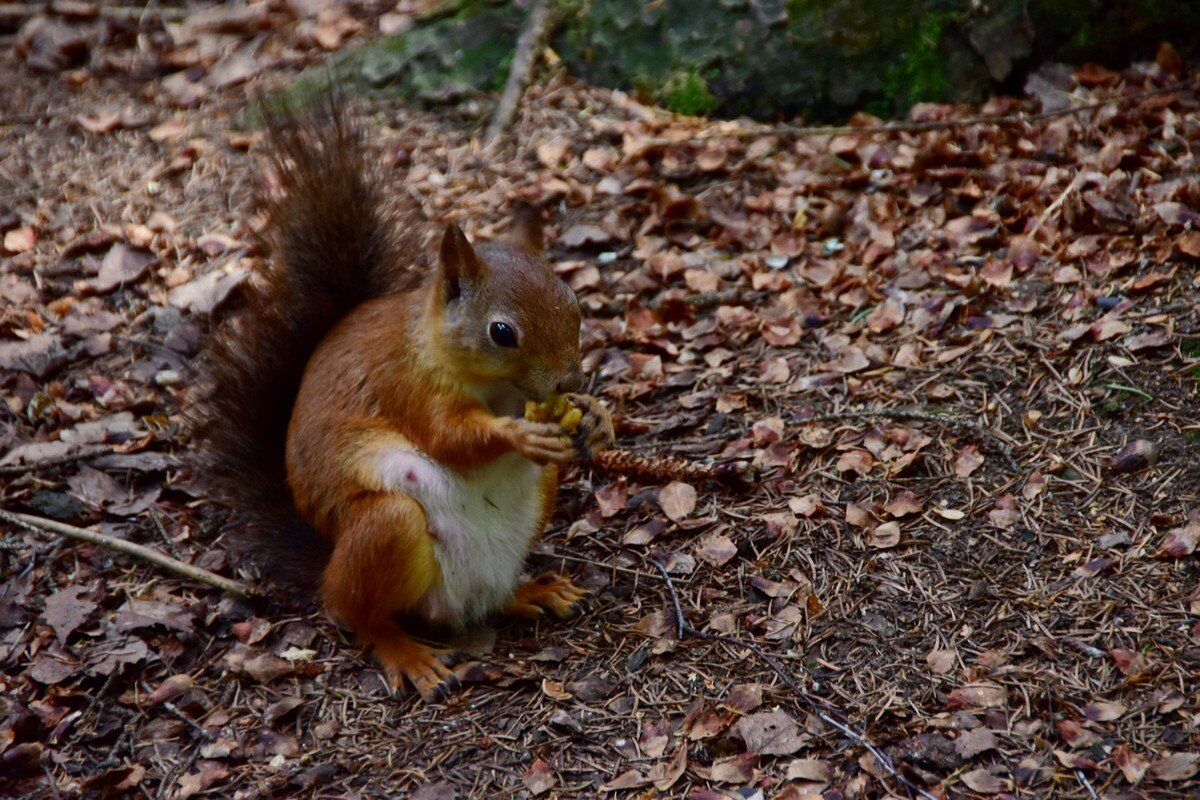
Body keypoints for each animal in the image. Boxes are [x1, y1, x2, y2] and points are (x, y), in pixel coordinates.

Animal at [196, 98, 614, 700]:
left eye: (574, 304)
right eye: (502, 332)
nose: (568, 383)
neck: (491, 385)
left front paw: (598, 419)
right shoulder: (405, 384)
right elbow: (448, 436)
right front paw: (516, 434)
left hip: (536, 503)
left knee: (490, 596)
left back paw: (530, 591)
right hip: (387, 527)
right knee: (360, 614)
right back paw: (407, 654)